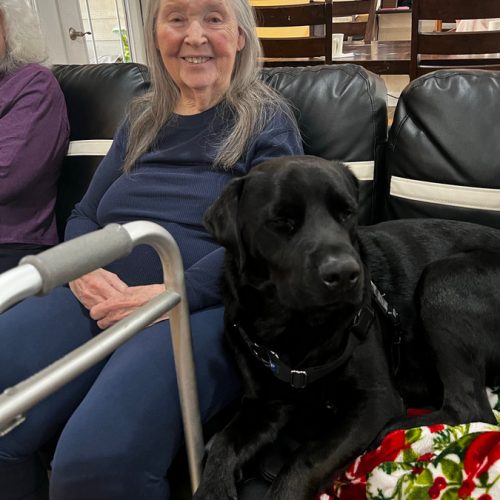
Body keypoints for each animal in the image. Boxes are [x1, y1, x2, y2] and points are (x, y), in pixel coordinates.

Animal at [194, 154, 500, 498]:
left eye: (347, 213)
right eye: (281, 221)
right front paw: (213, 487)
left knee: (470, 410)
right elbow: (223, 442)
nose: (343, 273)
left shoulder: (375, 401)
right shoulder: (262, 404)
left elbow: (304, 459)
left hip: (444, 279)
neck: (292, 330)